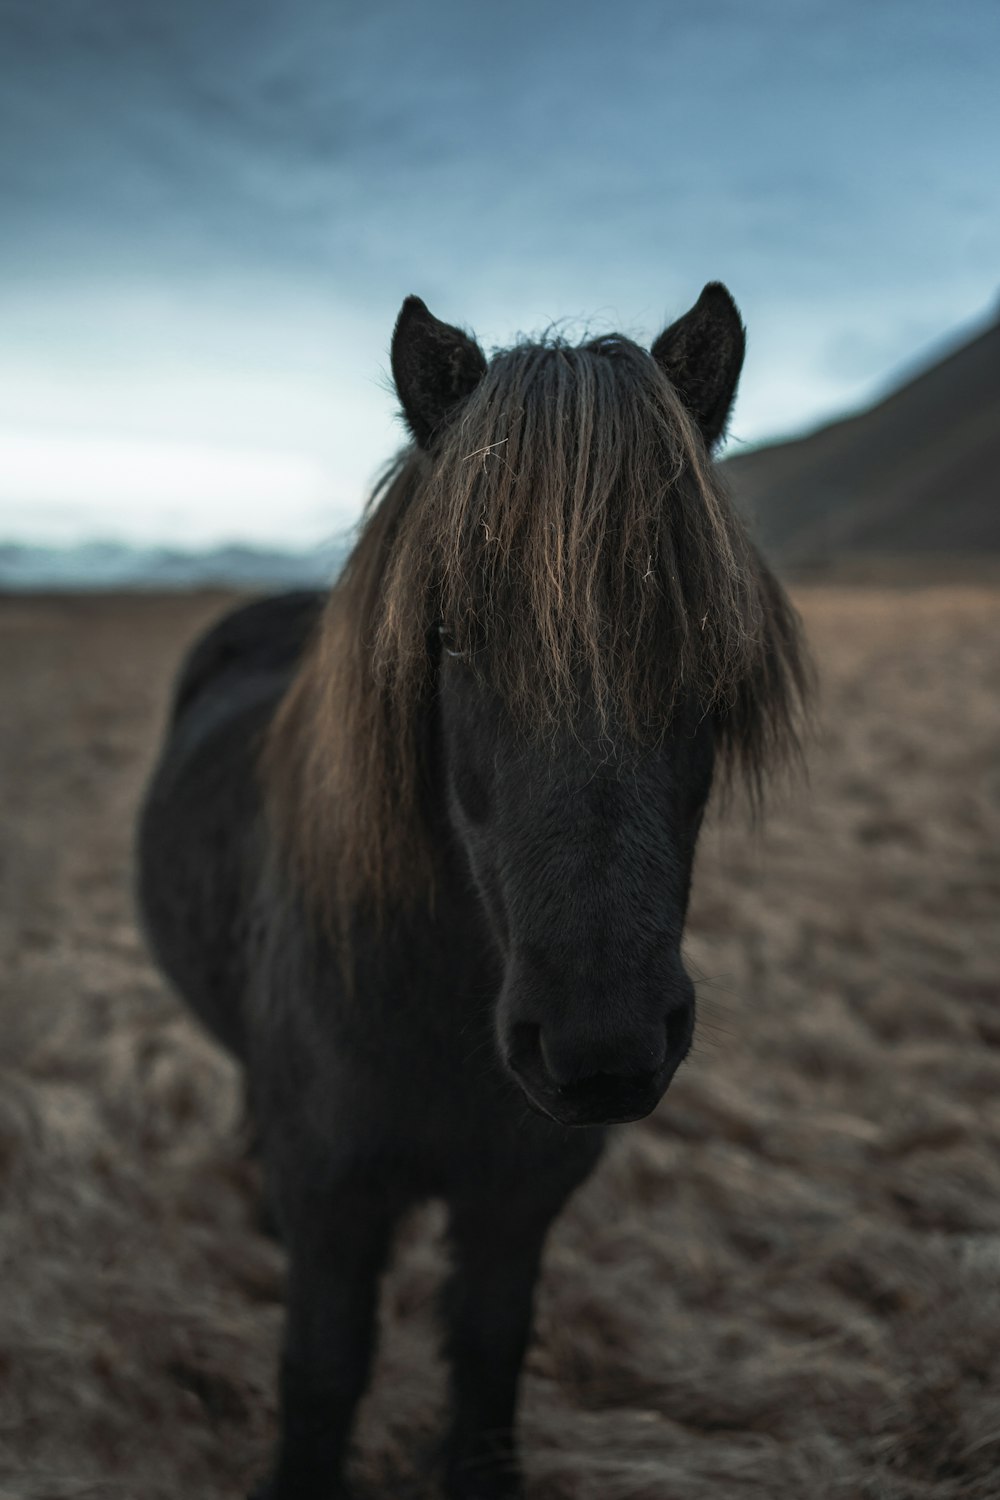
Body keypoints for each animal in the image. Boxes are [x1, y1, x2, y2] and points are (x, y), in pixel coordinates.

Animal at [134, 286, 803, 1494]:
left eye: (706, 637)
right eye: (449, 634)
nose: (602, 1045)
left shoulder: (517, 1203)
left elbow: (490, 1360)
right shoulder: (339, 1204)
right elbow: (323, 1373)